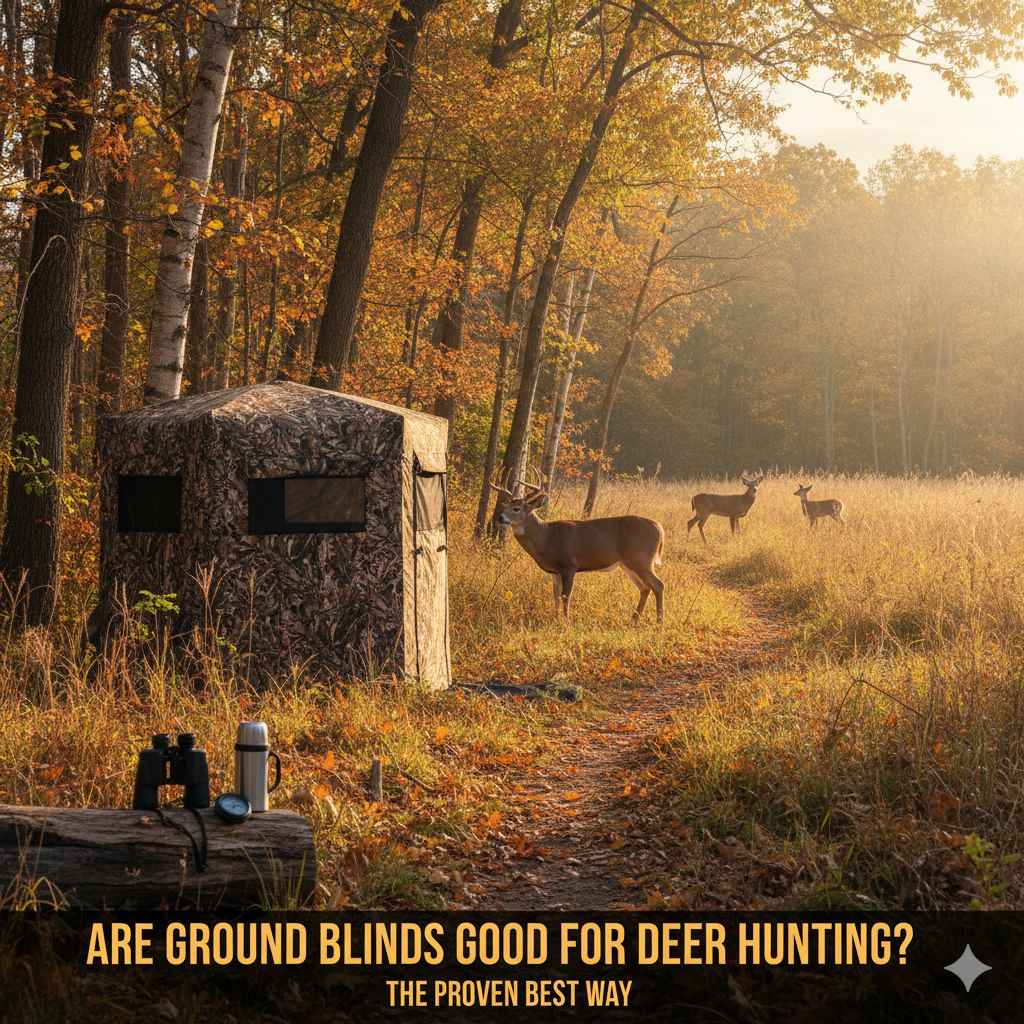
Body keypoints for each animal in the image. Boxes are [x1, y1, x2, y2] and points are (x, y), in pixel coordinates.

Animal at [489, 470, 665, 624]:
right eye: (505, 507)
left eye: (516, 509)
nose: (500, 517)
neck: (547, 538)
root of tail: (659, 528)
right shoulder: (555, 571)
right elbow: (555, 596)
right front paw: (555, 619)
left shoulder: (570, 565)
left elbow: (566, 596)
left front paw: (566, 623)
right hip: (628, 564)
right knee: (645, 588)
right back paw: (633, 621)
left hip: (640, 559)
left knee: (658, 584)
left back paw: (659, 622)